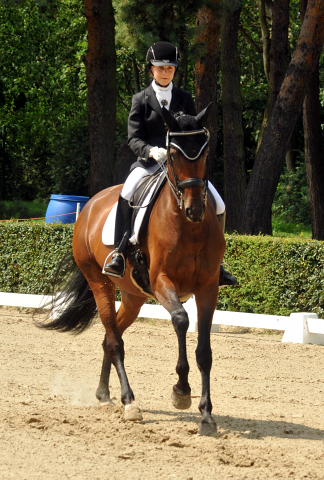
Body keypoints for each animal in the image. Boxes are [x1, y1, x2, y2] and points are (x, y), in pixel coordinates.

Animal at [39, 105, 225, 436]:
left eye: (203, 153)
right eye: (172, 155)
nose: (194, 210)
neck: (188, 227)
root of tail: (90, 204)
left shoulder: (208, 287)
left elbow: (204, 351)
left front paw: (206, 416)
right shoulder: (162, 281)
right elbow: (180, 320)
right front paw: (181, 392)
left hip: (133, 296)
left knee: (109, 336)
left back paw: (104, 396)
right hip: (100, 282)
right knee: (114, 341)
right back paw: (129, 402)